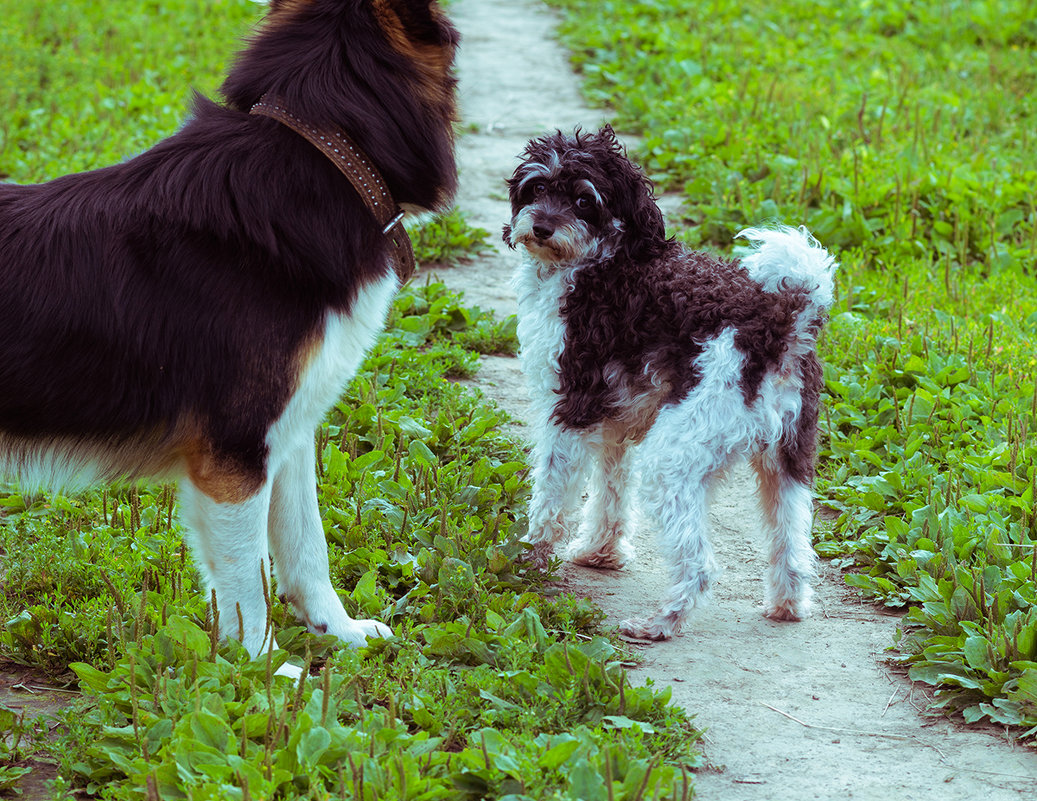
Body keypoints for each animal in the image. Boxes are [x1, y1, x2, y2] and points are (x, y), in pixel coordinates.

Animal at [0, 1, 458, 676]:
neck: (324, 148)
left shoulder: (287, 433)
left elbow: (305, 545)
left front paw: (338, 631)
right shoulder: (233, 453)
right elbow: (247, 578)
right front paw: (267, 671)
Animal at [501, 123, 833, 639]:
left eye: (583, 200)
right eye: (536, 189)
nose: (541, 227)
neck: (601, 260)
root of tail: (778, 325)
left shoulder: (570, 411)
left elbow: (551, 496)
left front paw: (528, 559)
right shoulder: (615, 424)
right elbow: (611, 493)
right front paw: (600, 553)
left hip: (672, 460)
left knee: (700, 566)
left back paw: (661, 623)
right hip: (787, 463)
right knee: (793, 551)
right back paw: (786, 606)